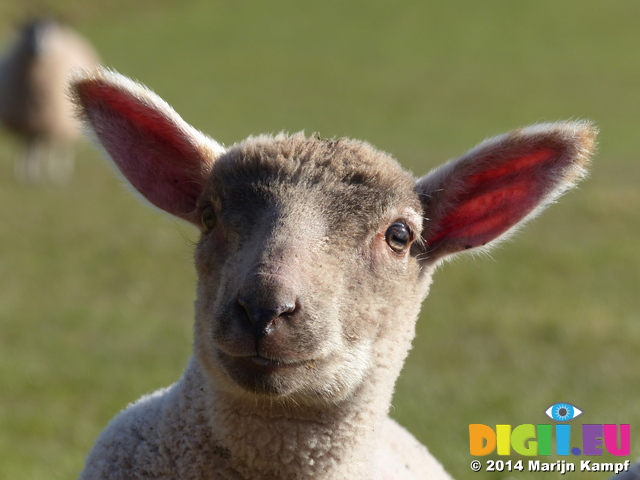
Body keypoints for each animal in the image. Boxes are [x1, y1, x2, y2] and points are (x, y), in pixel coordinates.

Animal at [0, 18, 99, 182]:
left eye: (49, 32)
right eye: (28, 31)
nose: (37, 49)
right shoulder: (26, 123)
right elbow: (26, 148)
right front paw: (25, 173)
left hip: (66, 125)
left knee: (59, 149)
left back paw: (59, 172)